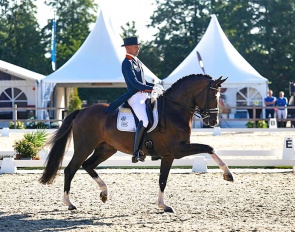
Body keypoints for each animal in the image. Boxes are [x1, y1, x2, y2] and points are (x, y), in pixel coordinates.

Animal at [38, 74, 234, 212]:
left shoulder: (169, 155)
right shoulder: (178, 149)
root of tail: (82, 111)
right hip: (84, 146)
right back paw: (69, 203)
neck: (174, 110)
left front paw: (163, 205)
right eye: (213, 95)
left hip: (106, 149)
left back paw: (104, 193)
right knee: (71, 169)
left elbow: (163, 180)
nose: (213, 121)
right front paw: (228, 174)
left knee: (88, 165)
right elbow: (208, 147)